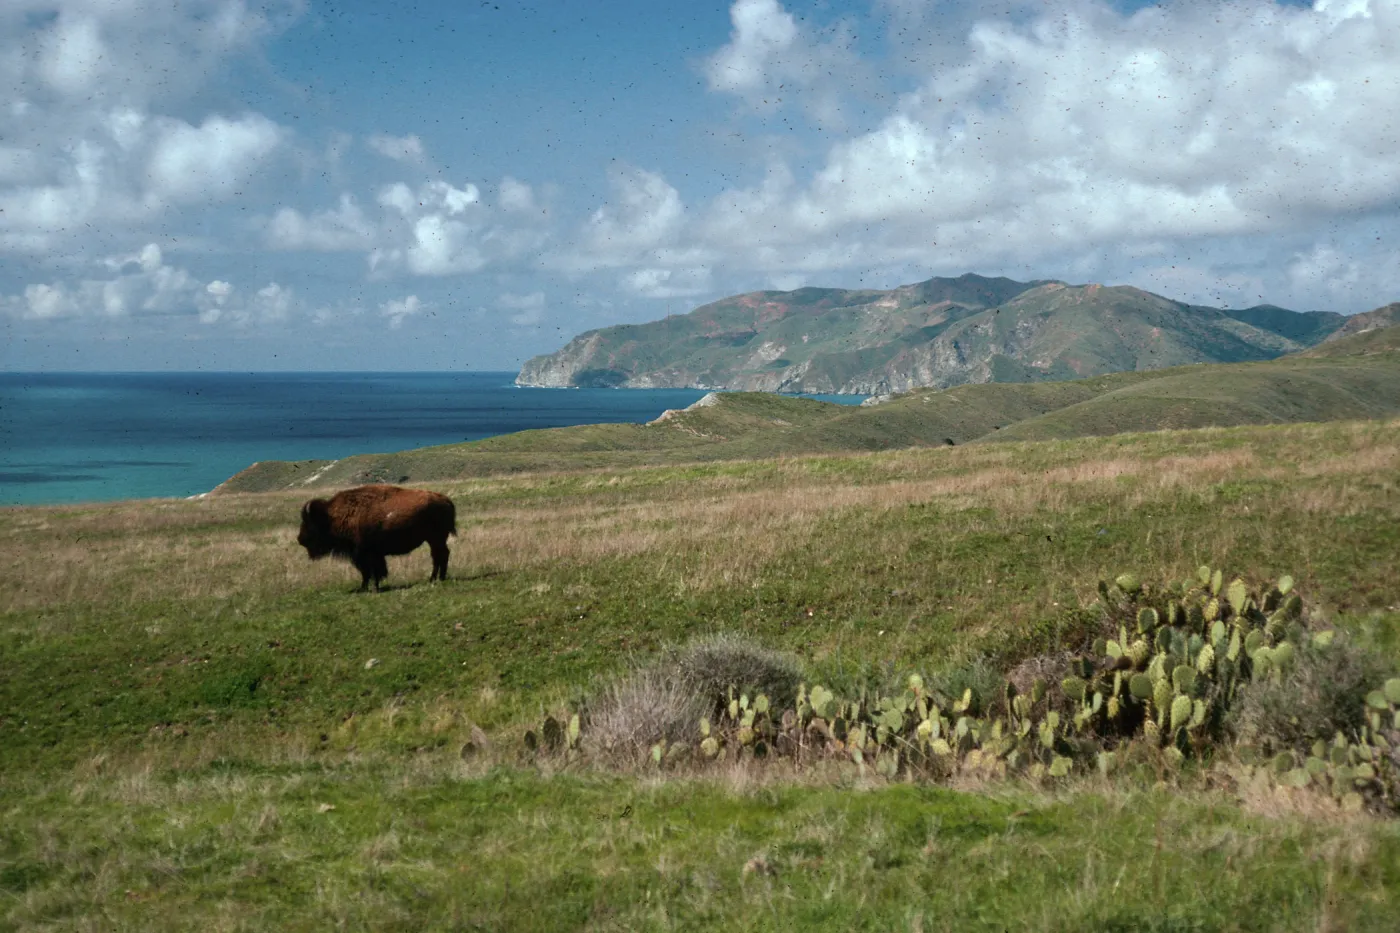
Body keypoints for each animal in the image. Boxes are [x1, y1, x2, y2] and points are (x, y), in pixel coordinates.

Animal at [297, 484, 456, 591]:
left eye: (309, 522)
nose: (300, 539)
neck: (332, 517)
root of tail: (445, 499)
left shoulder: (364, 554)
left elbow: (369, 572)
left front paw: (368, 588)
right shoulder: (373, 554)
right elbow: (373, 571)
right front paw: (371, 586)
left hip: (436, 538)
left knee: (440, 555)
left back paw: (435, 578)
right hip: (434, 539)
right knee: (440, 555)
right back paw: (437, 578)